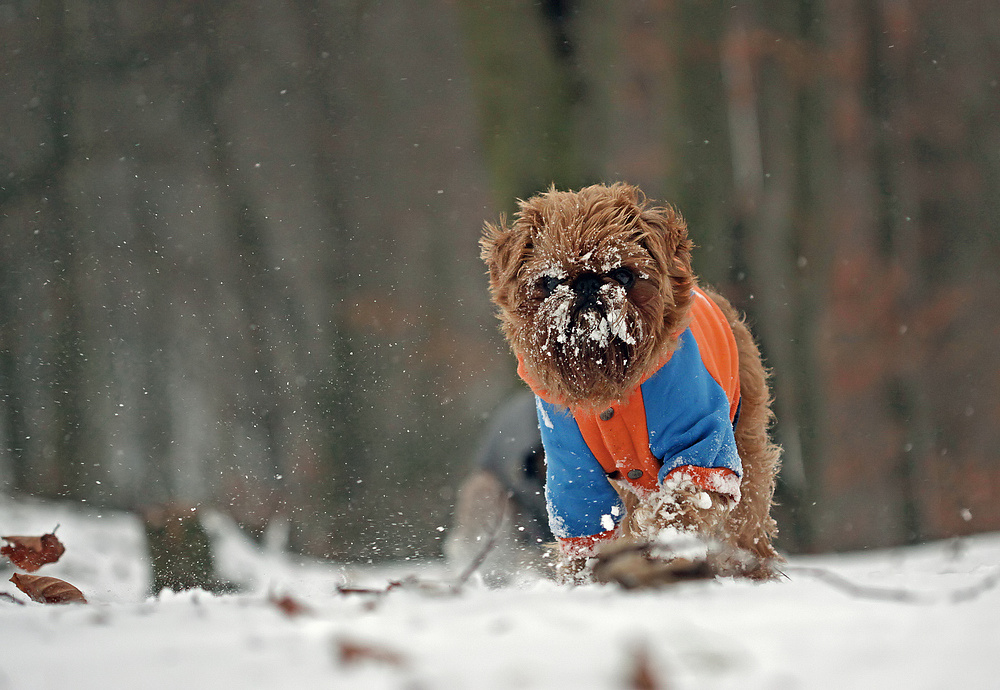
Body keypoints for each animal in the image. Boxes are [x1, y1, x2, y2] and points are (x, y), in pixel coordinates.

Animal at [482, 183, 780, 580]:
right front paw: (583, 580)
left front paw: (665, 546)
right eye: (551, 282)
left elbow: (681, 503)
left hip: (744, 449)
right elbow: (586, 528)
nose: (587, 283)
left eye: (624, 275)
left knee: (746, 522)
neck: (609, 384)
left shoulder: (700, 445)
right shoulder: (572, 470)